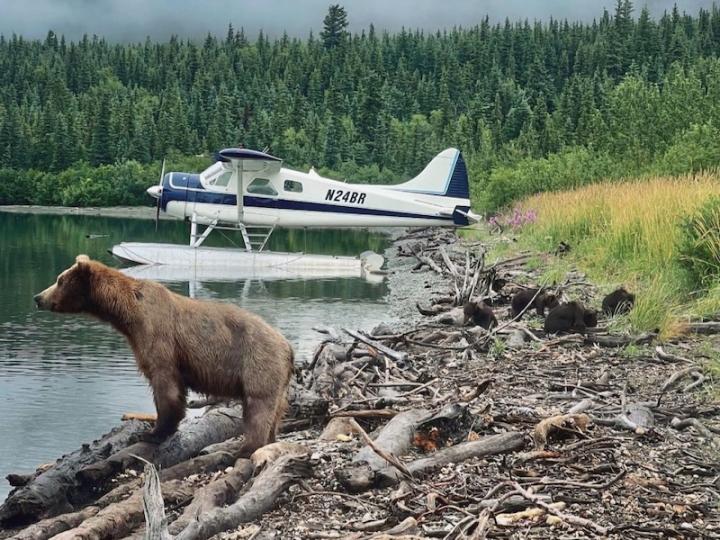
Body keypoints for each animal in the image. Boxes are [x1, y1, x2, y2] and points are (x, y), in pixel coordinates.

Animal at [33, 255, 292, 454]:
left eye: (60, 280)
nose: (38, 297)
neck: (128, 314)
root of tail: (288, 347)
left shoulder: (159, 338)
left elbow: (165, 385)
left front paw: (153, 432)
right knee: (276, 411)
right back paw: (269, 440)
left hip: (258, 363)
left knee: (258, 407)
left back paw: (247, 447)